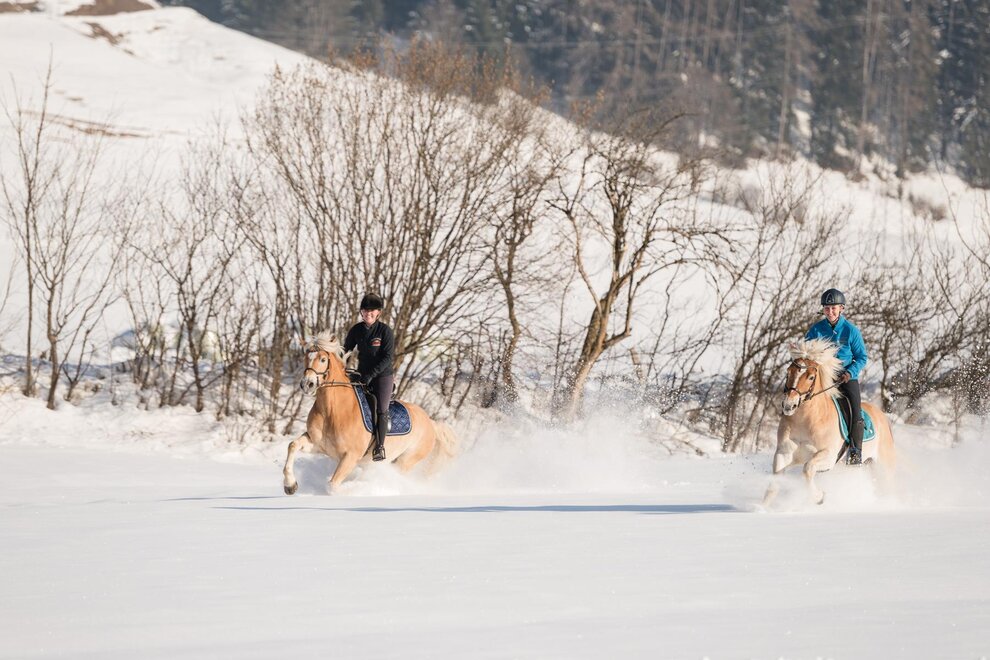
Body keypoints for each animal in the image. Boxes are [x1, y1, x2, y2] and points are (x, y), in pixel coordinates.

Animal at [282, 331, 458, 494]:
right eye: (306, 357)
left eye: (323, 359)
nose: (307, 384)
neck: (332, 411)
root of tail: (431, 423)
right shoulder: (317, 444)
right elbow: (292, 445)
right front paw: (290, 486)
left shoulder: (350, 457)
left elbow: (332, 485)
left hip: (405, 461)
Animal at [762, 338, 896, 506]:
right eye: (788, 372)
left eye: (811, 377)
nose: (789, 405)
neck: (806, 420)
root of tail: (882, 416)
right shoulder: (784, 453)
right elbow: (773, 485)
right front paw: (760, 508)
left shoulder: (828, 456)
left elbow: (807, 469)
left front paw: (819, 497)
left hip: (883, 465)